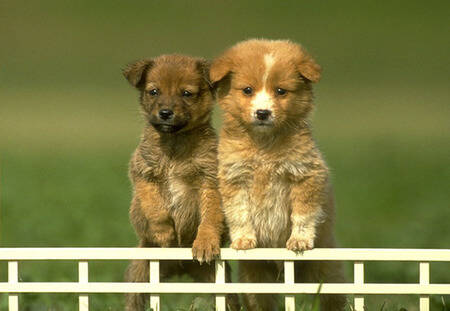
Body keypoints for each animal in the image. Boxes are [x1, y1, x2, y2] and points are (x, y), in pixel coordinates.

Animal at [121, 54, 241, 311]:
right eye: (154, 91)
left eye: (186, 93)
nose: (166, 112)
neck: (174, 144)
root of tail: (179, 266)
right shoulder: (144, 176)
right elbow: (156, 208)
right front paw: (164, 234)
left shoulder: (209, 183)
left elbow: (210, 217)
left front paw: (205, 243)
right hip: (140, 273)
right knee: (134, 300)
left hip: (221, 284)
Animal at [211, 40, 348, 310]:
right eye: (247, 90)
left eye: (281, 91)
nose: (263, 113)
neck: (264, 147)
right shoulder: (234, 178)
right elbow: (239, 213)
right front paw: (243, 240)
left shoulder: (305, 174)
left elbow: (303, 213)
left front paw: (299, 241)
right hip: (255, 281)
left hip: (328, 273)